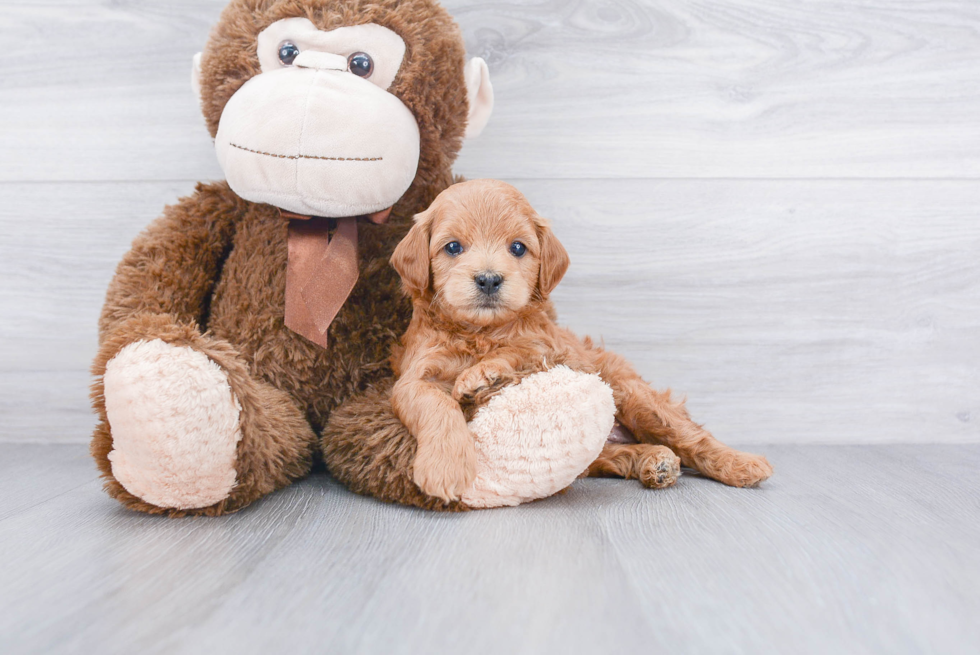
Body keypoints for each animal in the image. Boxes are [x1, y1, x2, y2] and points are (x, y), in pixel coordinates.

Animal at [390, 178, 772, 502]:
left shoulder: (556, 349)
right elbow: (436, 404)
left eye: (518, 248)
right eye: (453, 247)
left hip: (634, 395)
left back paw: (741, 463)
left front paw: (484, 375)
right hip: (603, 447)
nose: (488, 279)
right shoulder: (413, 377)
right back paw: (654, 460)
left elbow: (522, 349)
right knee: (606, 457)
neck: (480, 332)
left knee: (691, 437)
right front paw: (446, 466)